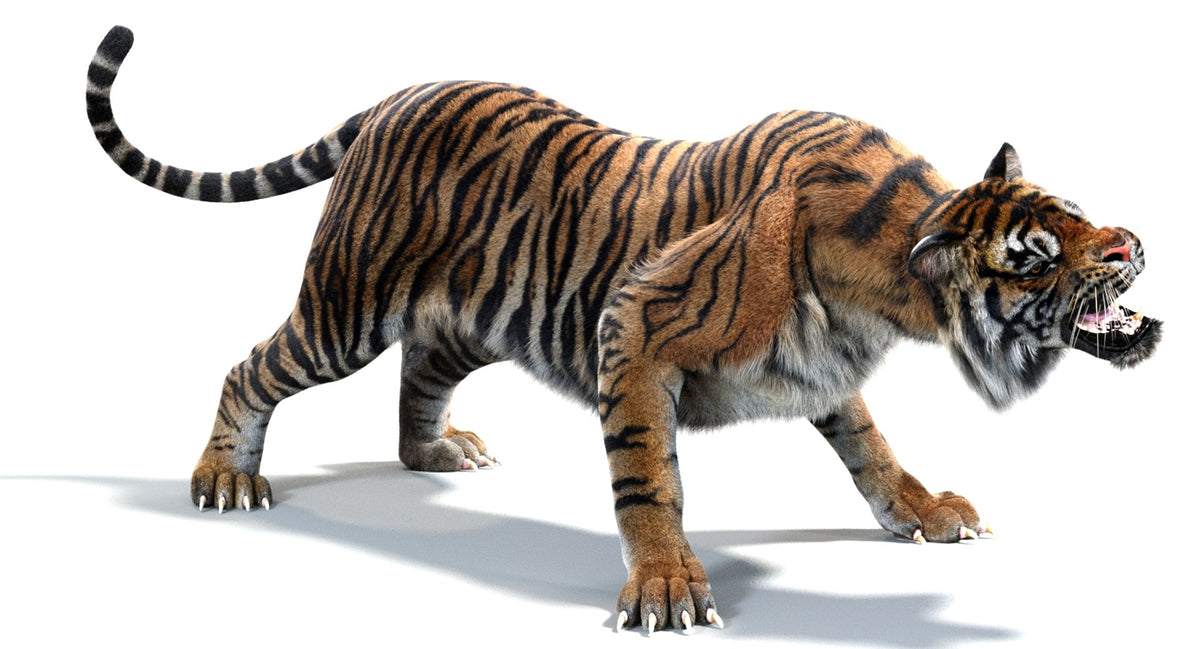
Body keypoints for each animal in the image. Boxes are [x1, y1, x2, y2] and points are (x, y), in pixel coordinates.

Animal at [86, 25, 1161, 633]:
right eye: (1037, 254)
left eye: (1075, 213)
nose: (1131, 243)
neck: (889, 290)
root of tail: (399, 94)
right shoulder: (634, 327)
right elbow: (650, 479)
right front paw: (667, 589)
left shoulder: (824, 371)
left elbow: (872, 448)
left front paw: (926, 511)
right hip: (347, 303)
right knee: (252, 366)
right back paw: (226, 477)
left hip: (476, 311)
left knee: (420, 369)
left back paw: (435, 452)